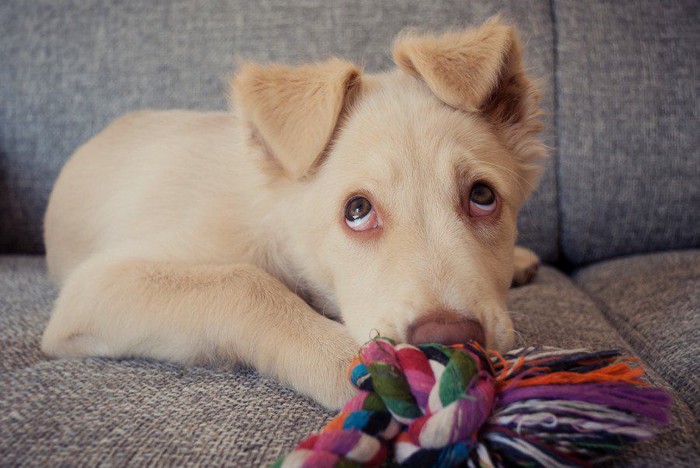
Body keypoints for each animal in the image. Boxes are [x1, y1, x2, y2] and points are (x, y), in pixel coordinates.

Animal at [41, 16, 548, 408]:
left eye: (482, 196)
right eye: (357, 210)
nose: (451, 340)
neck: (273, 216)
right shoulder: (95, 287)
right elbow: (242, 283)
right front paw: (347, 361)